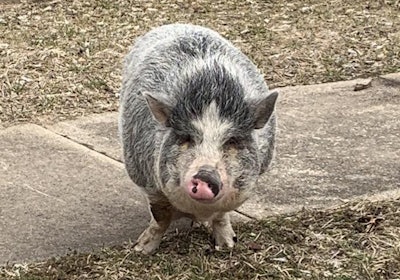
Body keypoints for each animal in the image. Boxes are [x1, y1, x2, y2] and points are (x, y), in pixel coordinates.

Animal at [117, 24, 276, 254]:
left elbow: (221, 215)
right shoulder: (146, 180)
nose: (205, 176)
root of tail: (179, 24)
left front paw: (226, 246)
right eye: (186, 137)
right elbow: (160, 217)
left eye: (232, 141)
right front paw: (141, 249)